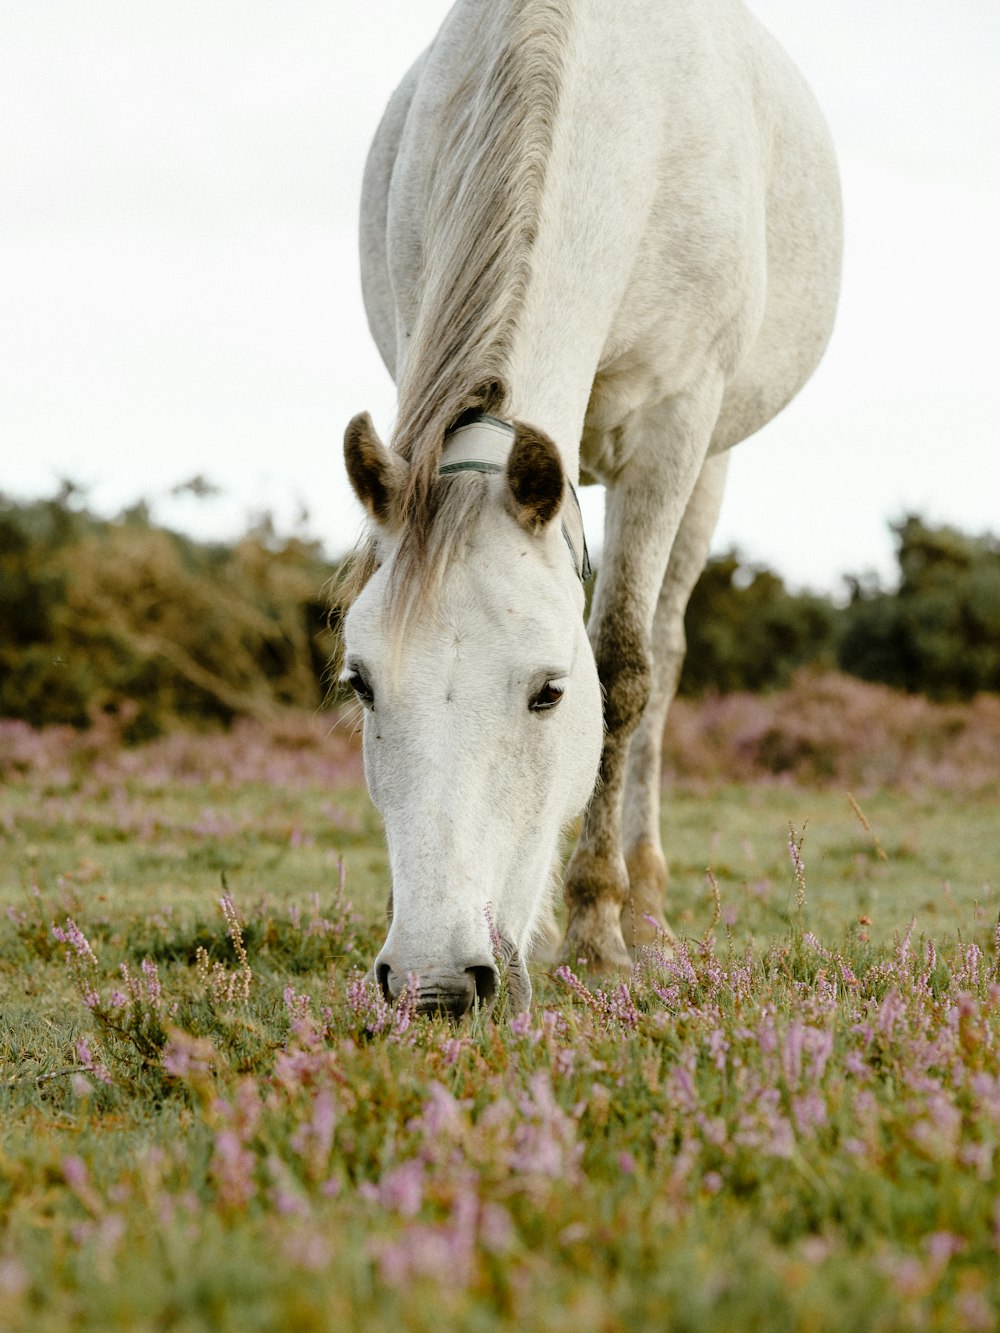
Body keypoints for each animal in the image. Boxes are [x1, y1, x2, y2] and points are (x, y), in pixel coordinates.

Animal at [341, 0, 842, 1007]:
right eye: (361, 683)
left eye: (548, 692)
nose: (434, 983)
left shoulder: (674, 427)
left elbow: (627, 669)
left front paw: (599, 925)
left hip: (709, 462)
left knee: (666, 652)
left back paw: (644, 907)